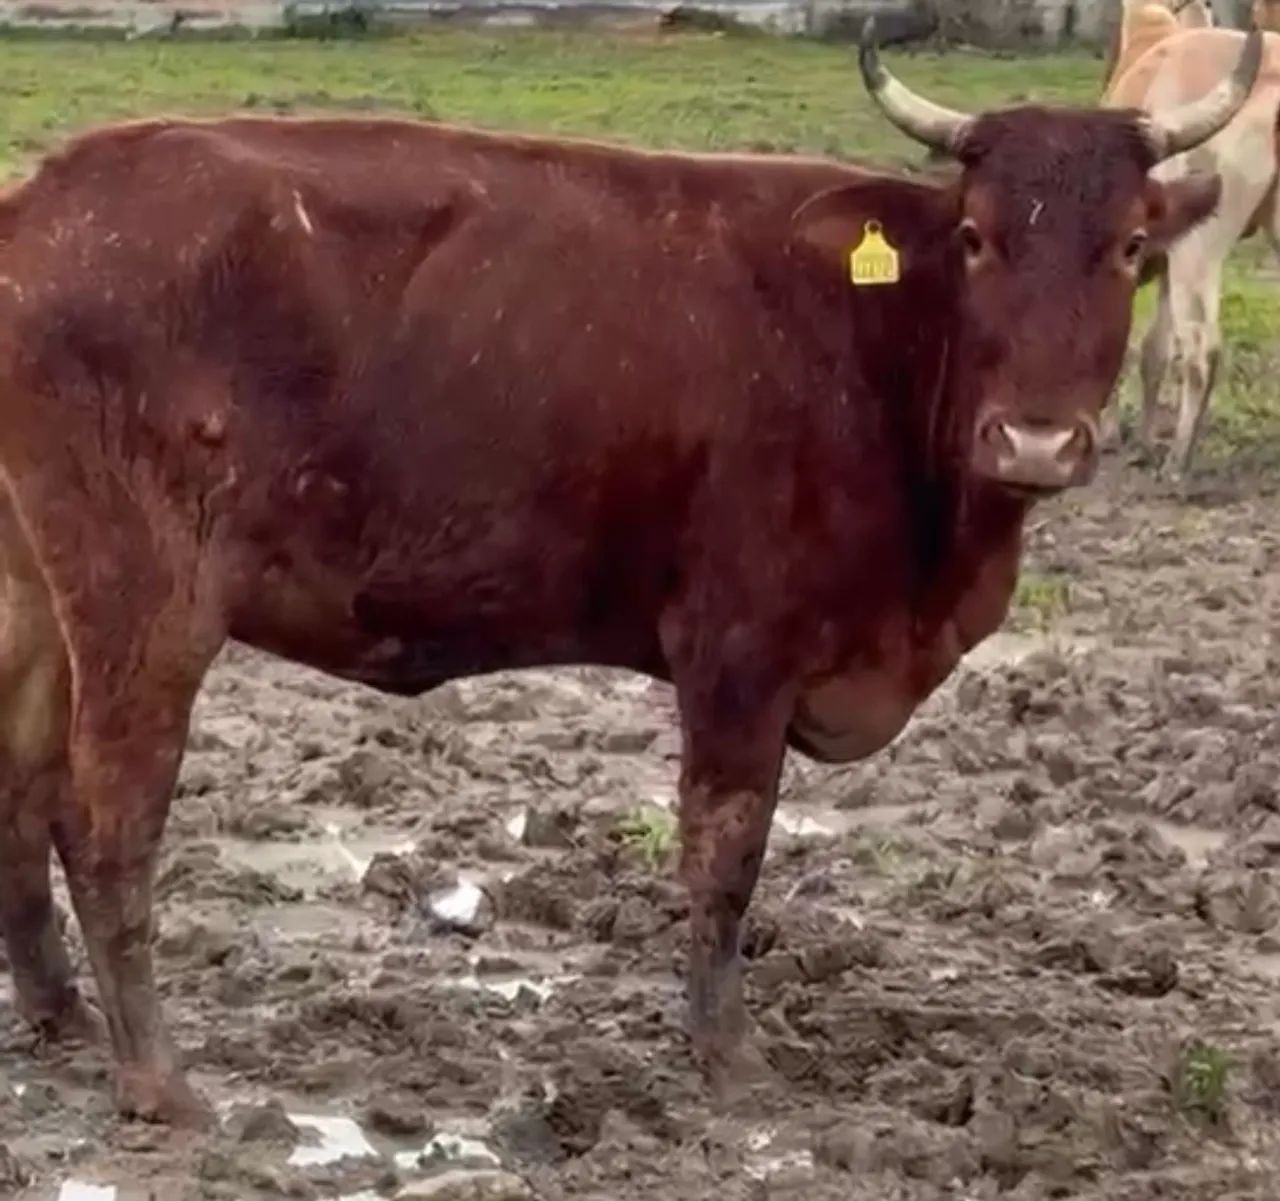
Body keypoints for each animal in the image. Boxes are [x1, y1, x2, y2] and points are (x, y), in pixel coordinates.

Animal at [0, 22, 1260, 1125]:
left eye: (1130, 246)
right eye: (975, 238)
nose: (1034, 442)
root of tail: (51, 196)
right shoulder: (738, 648)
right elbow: (726, 847)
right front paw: (726, 1055)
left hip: (38, 604)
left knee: (25, 787)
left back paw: (63, 1018)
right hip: (144, 603)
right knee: (107, 818)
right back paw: (158, 1082)